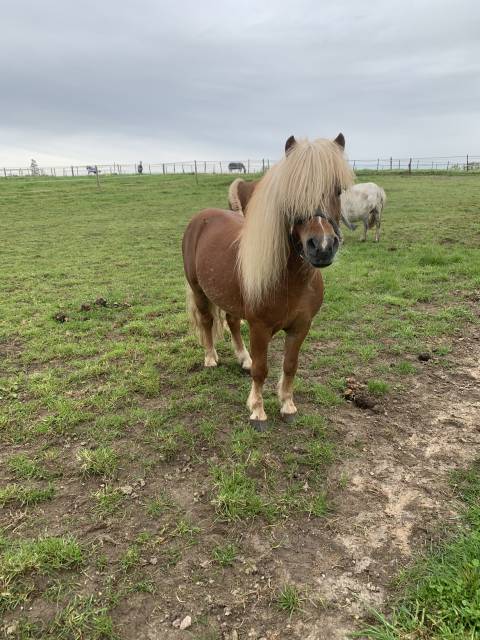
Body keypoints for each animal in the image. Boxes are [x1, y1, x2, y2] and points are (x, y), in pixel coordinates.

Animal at [182, 134, 354, 430]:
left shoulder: (301, 327)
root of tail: (200, 219)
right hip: (199, 291)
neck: (292, 281)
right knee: (206, 321)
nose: (322, 247)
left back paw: (243, 359)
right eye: (292, 193)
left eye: (338, 190)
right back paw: (210, 358)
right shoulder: (260, 327)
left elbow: (290, 365)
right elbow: (262, 369)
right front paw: (257, 411)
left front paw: (287, 405)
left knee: (231, 322)